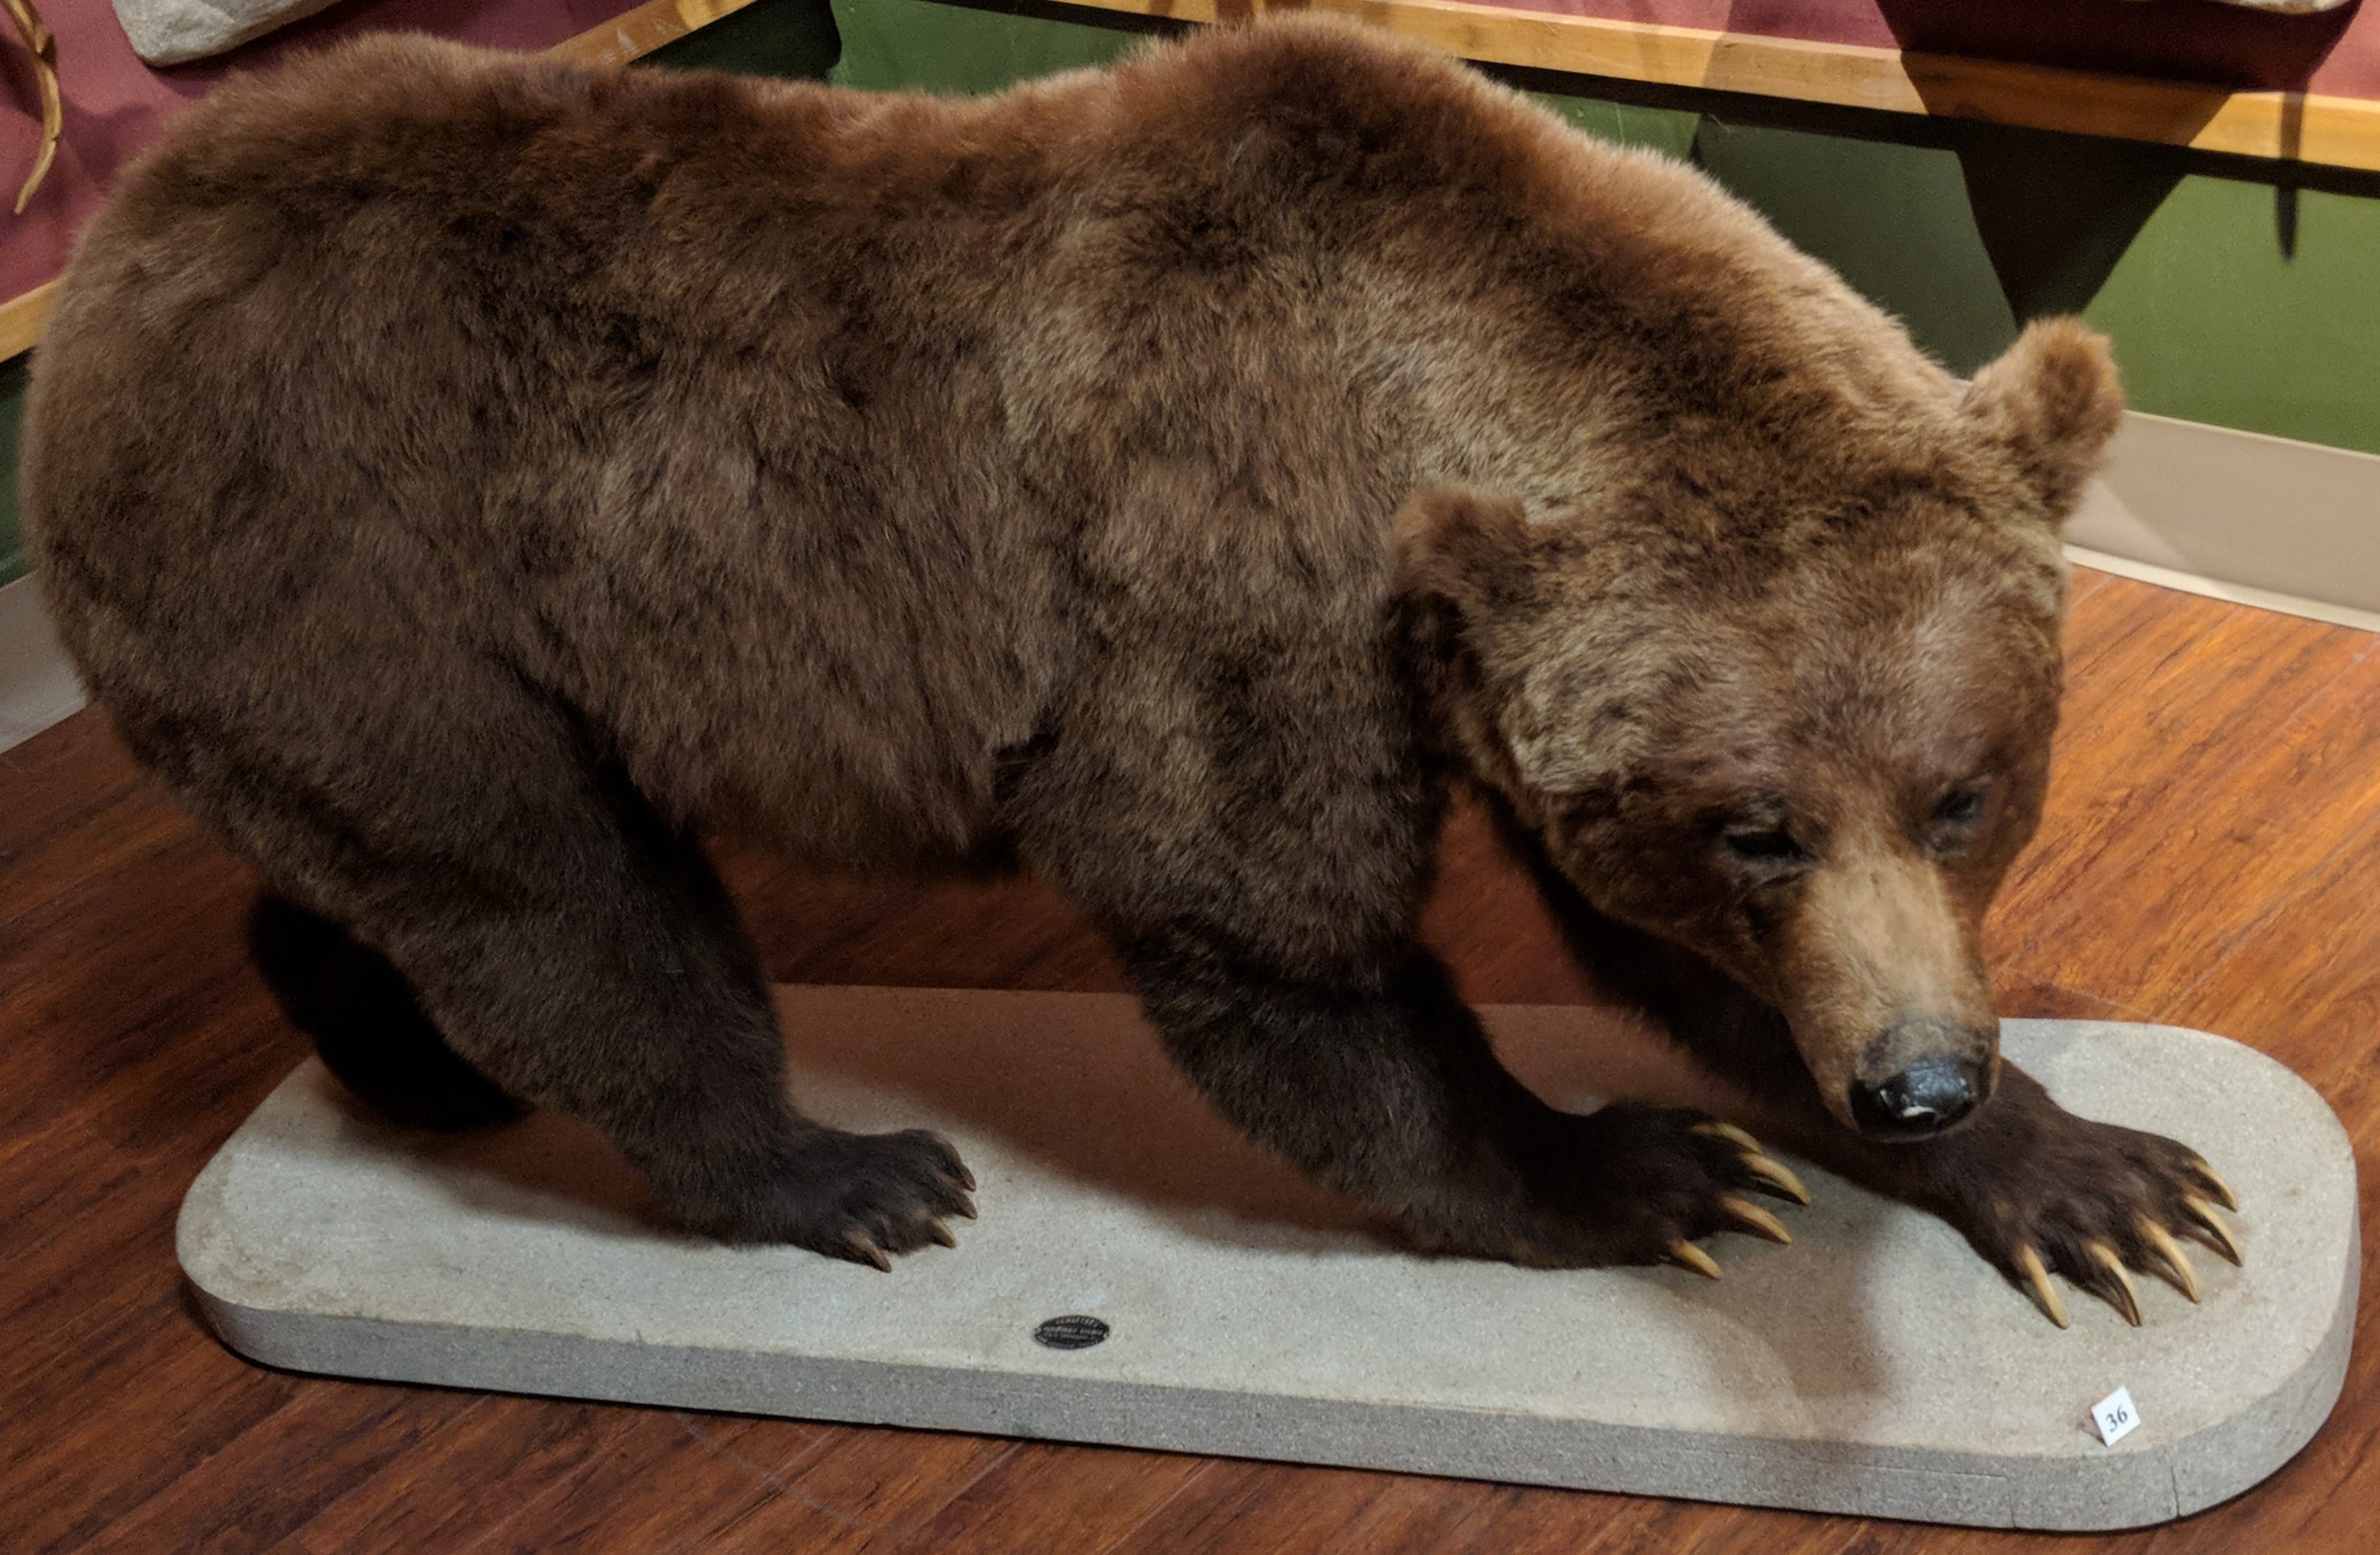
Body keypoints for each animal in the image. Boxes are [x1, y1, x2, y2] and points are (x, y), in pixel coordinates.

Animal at [22, 17, 2236, 1327]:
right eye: (1753, 822)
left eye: (1964, 788)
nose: (1918, 1077)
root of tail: (121, 247)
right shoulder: (1231, 589)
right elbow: (1271, 947)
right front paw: (1640, 1168)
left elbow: (1640, 947)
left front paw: (2099, 1182)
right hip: (365, 574)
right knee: (565, 905)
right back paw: (834, 1170)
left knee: (388, 871)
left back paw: (402, 1052)